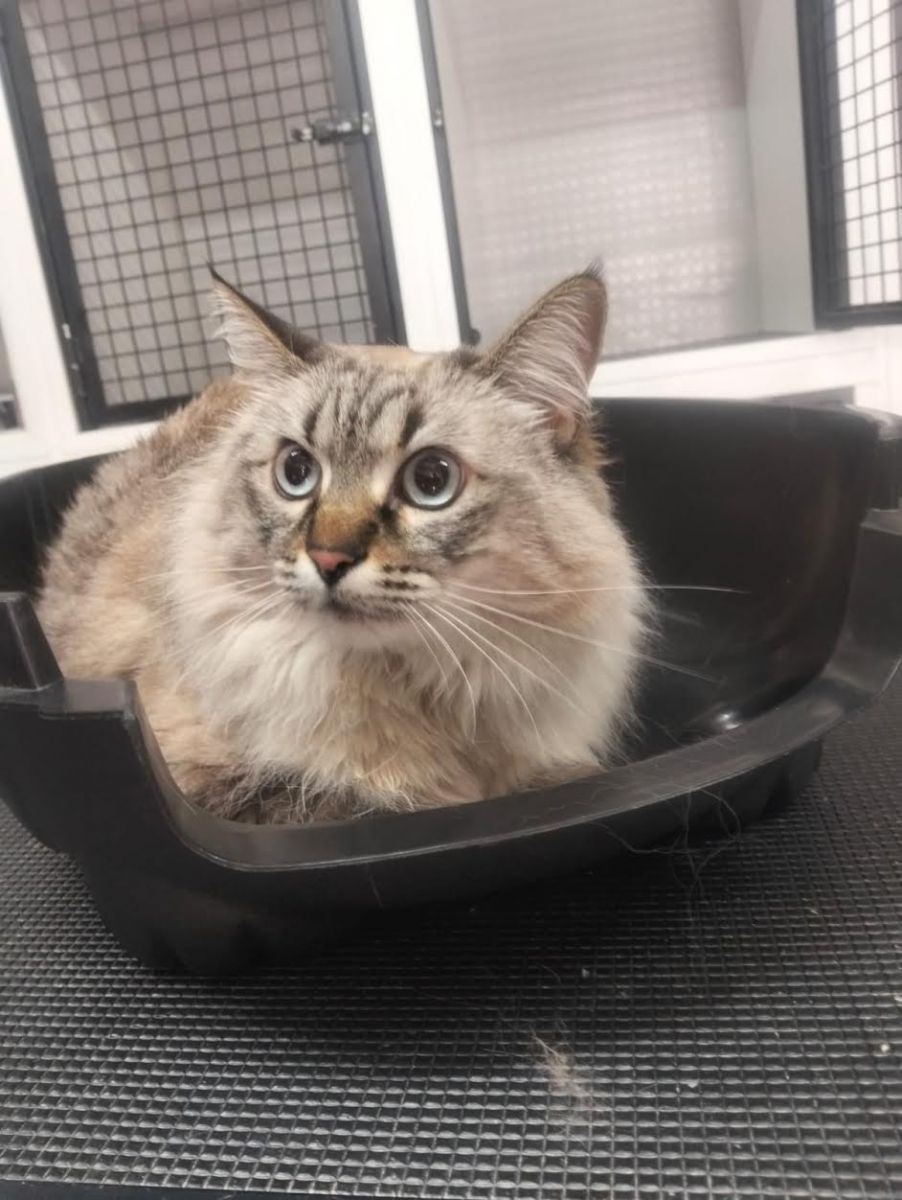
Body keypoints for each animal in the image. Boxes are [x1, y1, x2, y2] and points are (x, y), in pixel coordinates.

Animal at [37, 267, 646, 823]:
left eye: (432, 481)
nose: (328, 559)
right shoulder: (228, 787)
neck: (410, 687)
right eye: (296, 472)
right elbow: (357, 802)